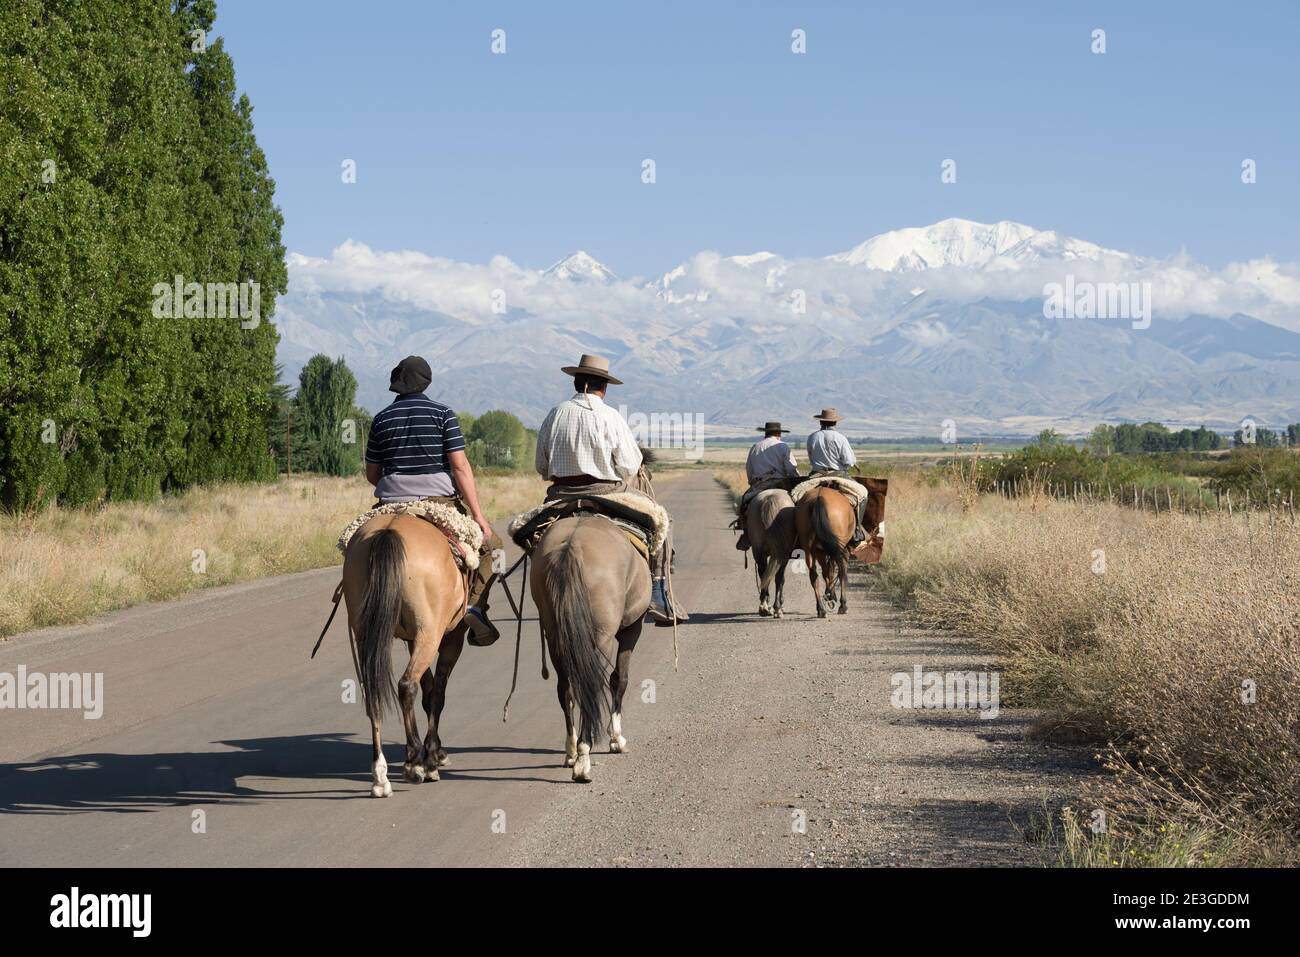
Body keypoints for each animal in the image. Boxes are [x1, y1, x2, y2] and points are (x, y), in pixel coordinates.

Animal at [343, 514, 470, 800]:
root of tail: (388, 531)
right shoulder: (452, 635)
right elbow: (437, 693)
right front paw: (434, 755)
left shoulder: (413, 640)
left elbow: (429, 689)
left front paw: (435, 751)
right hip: (429, 633)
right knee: (407, 685)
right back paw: (415, 763)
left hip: (367, 632)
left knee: (373, 693)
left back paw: (380, 777)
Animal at [527, 514, 650, 780]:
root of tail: (570, 546)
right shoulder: (633, 628)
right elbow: (619, 679)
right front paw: (616, 739)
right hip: (601, 637)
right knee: (591, 686)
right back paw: (583, 760)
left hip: (556, 638)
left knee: (566, 690)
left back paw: (572, 751)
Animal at [748, 488, 795, 616]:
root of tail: (769, 499)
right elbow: (781, 579)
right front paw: (780, 606)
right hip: (782, 554)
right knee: (778, 577)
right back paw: (777, 607)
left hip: (758, 551)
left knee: (763, 574)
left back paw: (764, 607)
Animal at [790, 488, 852, 616]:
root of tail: (818, 498)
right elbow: (834, 571)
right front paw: (835, 599)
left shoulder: (820, 551)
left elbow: (826, 571)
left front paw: (830, 595)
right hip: (838, 548)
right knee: (841, 571)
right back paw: (841, 606)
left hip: (809, 549)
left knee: (814, 575)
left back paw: (821, 609)